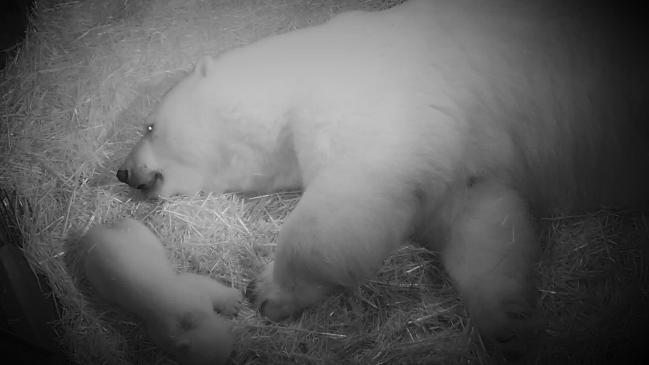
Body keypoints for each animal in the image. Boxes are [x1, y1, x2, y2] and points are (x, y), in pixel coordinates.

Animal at [78, 219, 240, 364]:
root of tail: (96, 234)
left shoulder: (189, 289)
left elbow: (204, 284)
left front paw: (233, 302)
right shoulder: (161, 327)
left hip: (136, 231)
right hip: (97, 273)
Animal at [116, 0, 648, 358]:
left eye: (149, 126)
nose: (122, 171)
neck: (298, 77)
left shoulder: (378, 99)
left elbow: (347, 199)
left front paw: (269, 291)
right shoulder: (464, 153)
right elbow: (481, 219)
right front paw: (508, 322)